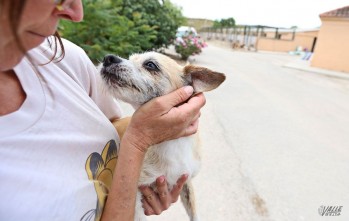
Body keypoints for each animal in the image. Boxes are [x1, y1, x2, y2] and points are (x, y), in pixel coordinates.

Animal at [99, 52, 224, 221]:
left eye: (150, 65)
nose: (108, 58)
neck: (174, 143)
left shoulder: (186, 181)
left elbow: (194, 214)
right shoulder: (136, 196)